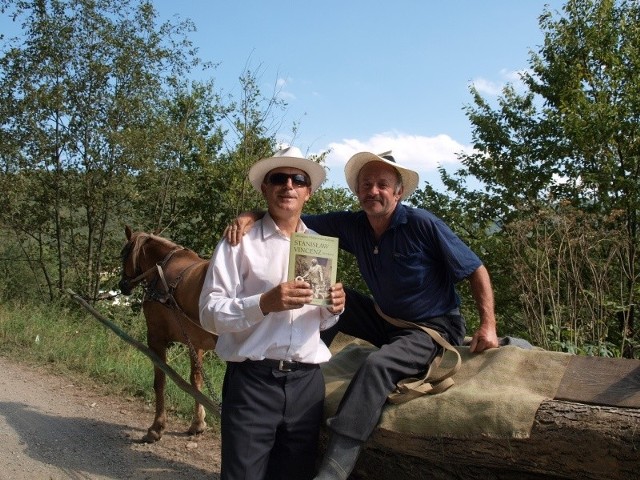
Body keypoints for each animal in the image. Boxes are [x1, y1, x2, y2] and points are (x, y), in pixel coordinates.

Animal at [119, 225, 219, 442]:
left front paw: (156, 427)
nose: (122, 285)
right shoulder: (195, 342)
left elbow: (160, 381)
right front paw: (198, 423)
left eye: (123, 254)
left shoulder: (156, 338)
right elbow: (195, 380)